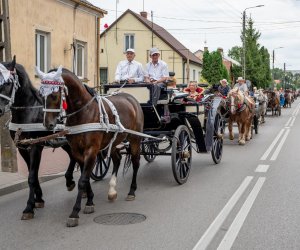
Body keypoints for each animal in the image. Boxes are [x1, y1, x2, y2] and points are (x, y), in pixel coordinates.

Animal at [36, 66, 144, 227]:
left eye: (54, 95)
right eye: (41, 94)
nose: (47, 124)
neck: (83, 112)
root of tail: (131, 99)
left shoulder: (91, 151)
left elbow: (82, 180)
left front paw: (75, 212)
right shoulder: (77, 151)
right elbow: (84, 177)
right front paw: (90, 201)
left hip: (135, 138)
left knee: (136, 162)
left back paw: (132, 191)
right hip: (113, 141)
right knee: (117, 159)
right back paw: (112, 190)